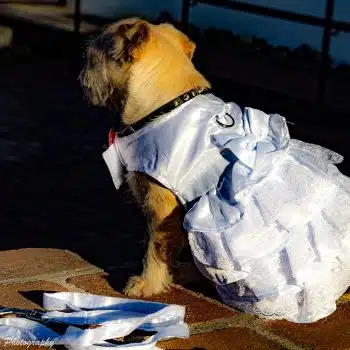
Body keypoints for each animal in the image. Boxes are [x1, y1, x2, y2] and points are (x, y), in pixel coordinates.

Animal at [80, 17, 211, 296]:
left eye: (91, 58)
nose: (82, 74)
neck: (166, 107)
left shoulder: (163, 208)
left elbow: (154, 249)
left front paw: (146, 284)